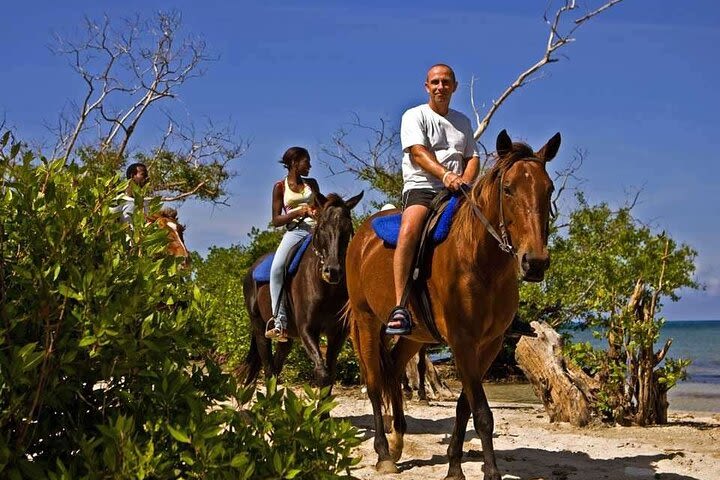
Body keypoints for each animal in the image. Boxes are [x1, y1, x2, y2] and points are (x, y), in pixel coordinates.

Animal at [243, 189, 366, 388]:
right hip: (260, 329)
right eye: (322, 226)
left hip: (286, 339)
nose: (333, 271)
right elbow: (322, 374)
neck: (326, 288)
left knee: (276, 368)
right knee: (269, 370)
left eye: (348, 227)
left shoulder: (337, 334)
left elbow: (330, 375)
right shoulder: (307, 330)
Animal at [346, 129, 560, 478]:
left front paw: (455, 466)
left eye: (548, 188)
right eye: (508, 189)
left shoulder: (488, 344)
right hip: (366, 321)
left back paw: (398, 442)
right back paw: (384, 453)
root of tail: (361, 237)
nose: (535, 262)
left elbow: (465, 406)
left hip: (414, 334)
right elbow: (482, 412)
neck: (480, 261)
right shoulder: (462, 341)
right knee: (374, 382)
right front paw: (490, 472)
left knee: (394, 369)